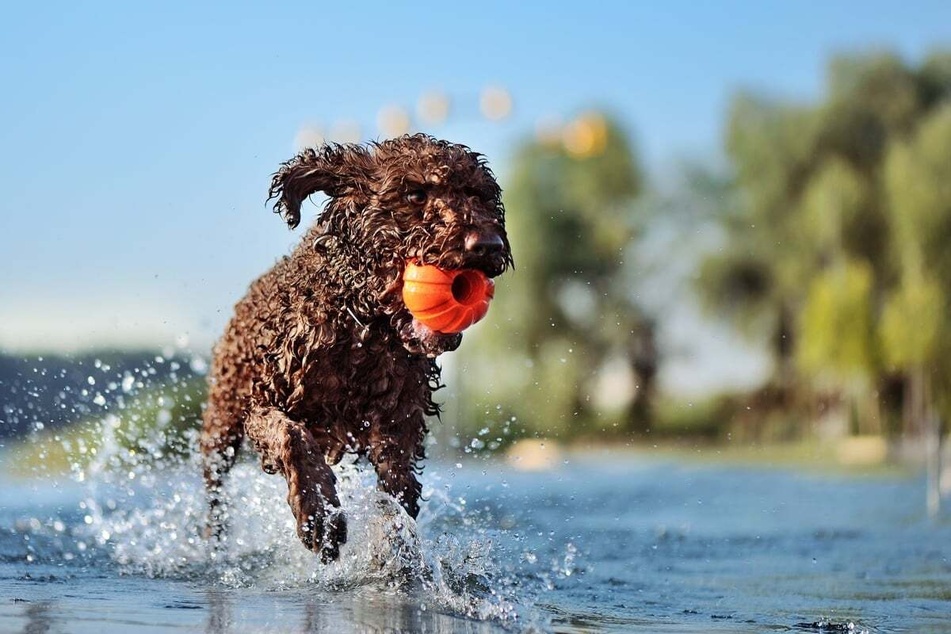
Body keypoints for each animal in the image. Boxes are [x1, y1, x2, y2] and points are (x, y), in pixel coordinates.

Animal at [198, 133, 512, 556]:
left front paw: (395, 547)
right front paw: (319, 514)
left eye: (481, 196)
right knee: (215, 484)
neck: (362, 331)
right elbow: (291, 437)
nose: (489, 245)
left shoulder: (398, 420)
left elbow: (398, 490)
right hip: (223, 420)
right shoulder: (262, 402)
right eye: (415, 194)